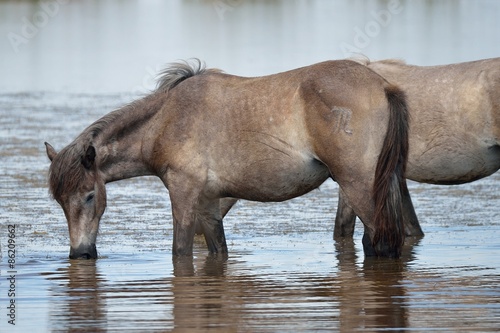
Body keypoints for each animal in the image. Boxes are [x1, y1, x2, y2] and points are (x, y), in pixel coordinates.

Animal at [45, 58, 408, 258]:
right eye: (61, 202)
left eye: (89, 196)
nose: (80, 253)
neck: (167, 120)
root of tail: (383, 86)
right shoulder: (208, 201)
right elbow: (218, 250)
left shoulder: (183, 193)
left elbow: (180, 251)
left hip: (358, 186)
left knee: (381, 243)